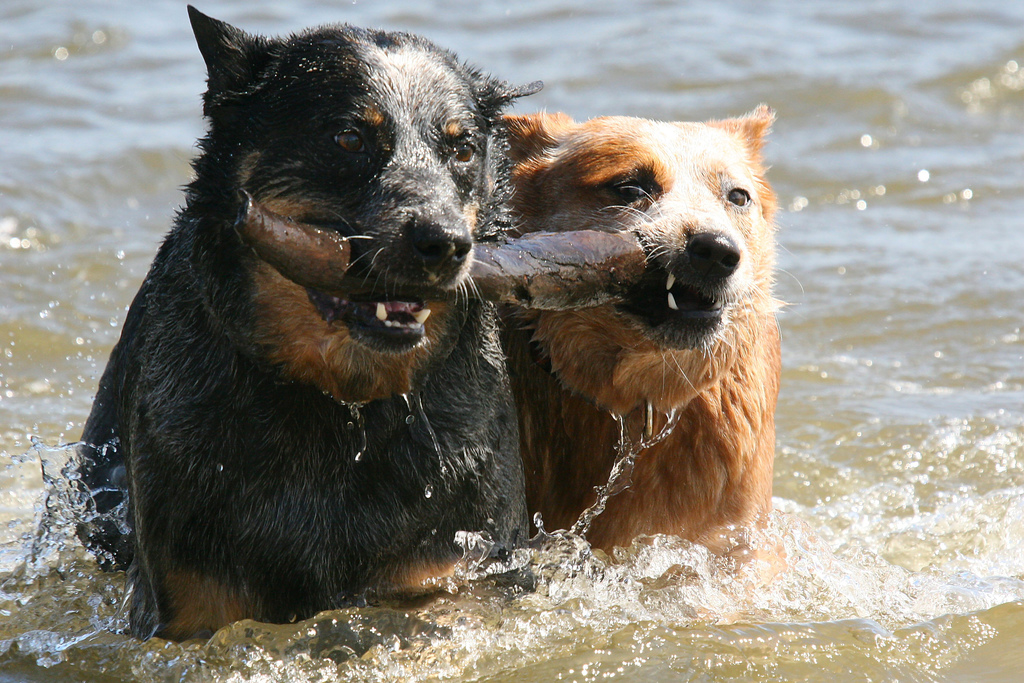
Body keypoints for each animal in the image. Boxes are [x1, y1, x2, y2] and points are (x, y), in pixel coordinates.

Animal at [74, 7, 536, 643]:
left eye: (462, 149)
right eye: (349, 138)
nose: (444, 243)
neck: (343, 408)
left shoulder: (451, 562)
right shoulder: (189, 599)